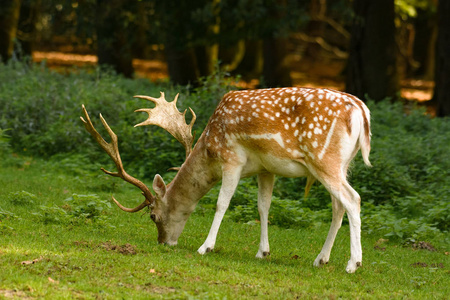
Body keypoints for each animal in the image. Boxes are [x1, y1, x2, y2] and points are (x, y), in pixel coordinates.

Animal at [81, 86, 372, 272]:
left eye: (153, 216)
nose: (163, 242)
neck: (210, 146)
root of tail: (362, 112)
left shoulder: (232, 158)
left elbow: (222, 203)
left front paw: (205, 247)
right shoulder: (266, 169)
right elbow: (263, 207)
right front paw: (262, 252)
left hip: (324, 159)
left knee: (353, 199)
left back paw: (353, 264)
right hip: (343, 164)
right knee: (338, 207)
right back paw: (320, 260)